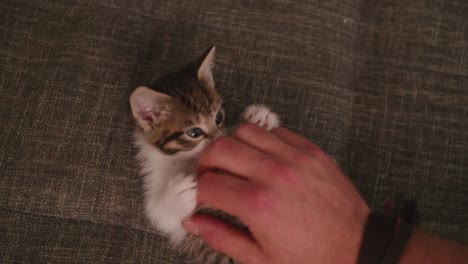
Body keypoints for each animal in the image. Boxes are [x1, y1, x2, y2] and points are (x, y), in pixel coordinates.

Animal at [129, 47, 278, 264]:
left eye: (219, 117)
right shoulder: (176, 219)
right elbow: (161, 214)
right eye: (194, 133)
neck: (188, 157)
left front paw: (259, 117)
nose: (220, 139)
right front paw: (178, 193)